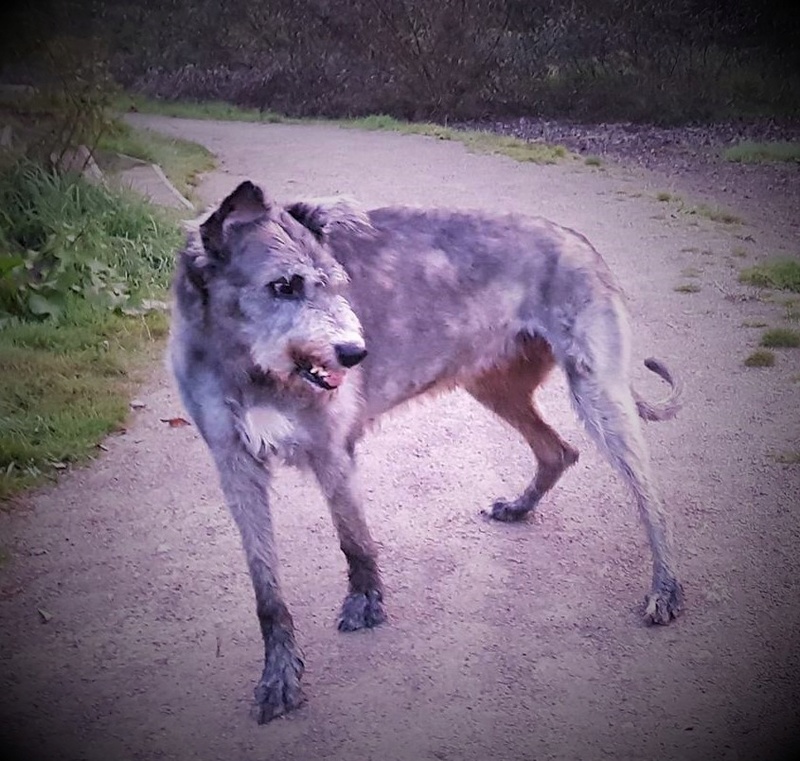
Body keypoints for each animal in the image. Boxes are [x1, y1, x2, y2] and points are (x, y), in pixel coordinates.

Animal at [167, 181, 680, 720]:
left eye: (335, 282)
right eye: (282, 285)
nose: (356, 353)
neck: (250, 365)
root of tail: (577, 239)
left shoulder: (333, 452)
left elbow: (355, 542)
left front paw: (366, 605)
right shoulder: (234, 465)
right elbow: (266, 588)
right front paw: (279, 676)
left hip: (597, 390)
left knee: (649, 494)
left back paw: (666, 589)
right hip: (496, 384)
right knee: (558, 450)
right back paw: (520, 506)